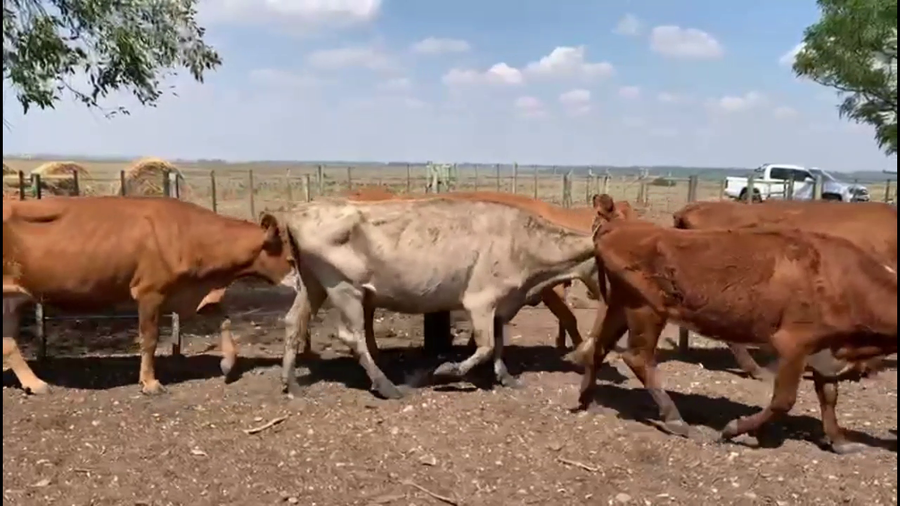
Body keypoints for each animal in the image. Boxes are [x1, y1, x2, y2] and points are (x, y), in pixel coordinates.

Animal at [2, 196, 295, 395]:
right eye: (291, 259)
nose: (300, 281)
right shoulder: (150, 292)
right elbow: (150, 340)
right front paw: (150, 382)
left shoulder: (193, 292)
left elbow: (224, 321)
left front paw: (228, 363)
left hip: (10, 300)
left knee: (9, 343)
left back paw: (34, 383)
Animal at [278, 196, 598, 399]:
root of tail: (298, 211)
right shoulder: (480, 300)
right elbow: (485, 346)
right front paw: (448, 371)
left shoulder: (503, 303)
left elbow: (498, 343)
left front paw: (505, 377)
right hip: (344, 286)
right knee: (352, 335)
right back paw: (386, 386)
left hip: (312, 283)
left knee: (294, 322)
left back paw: (291, 384)